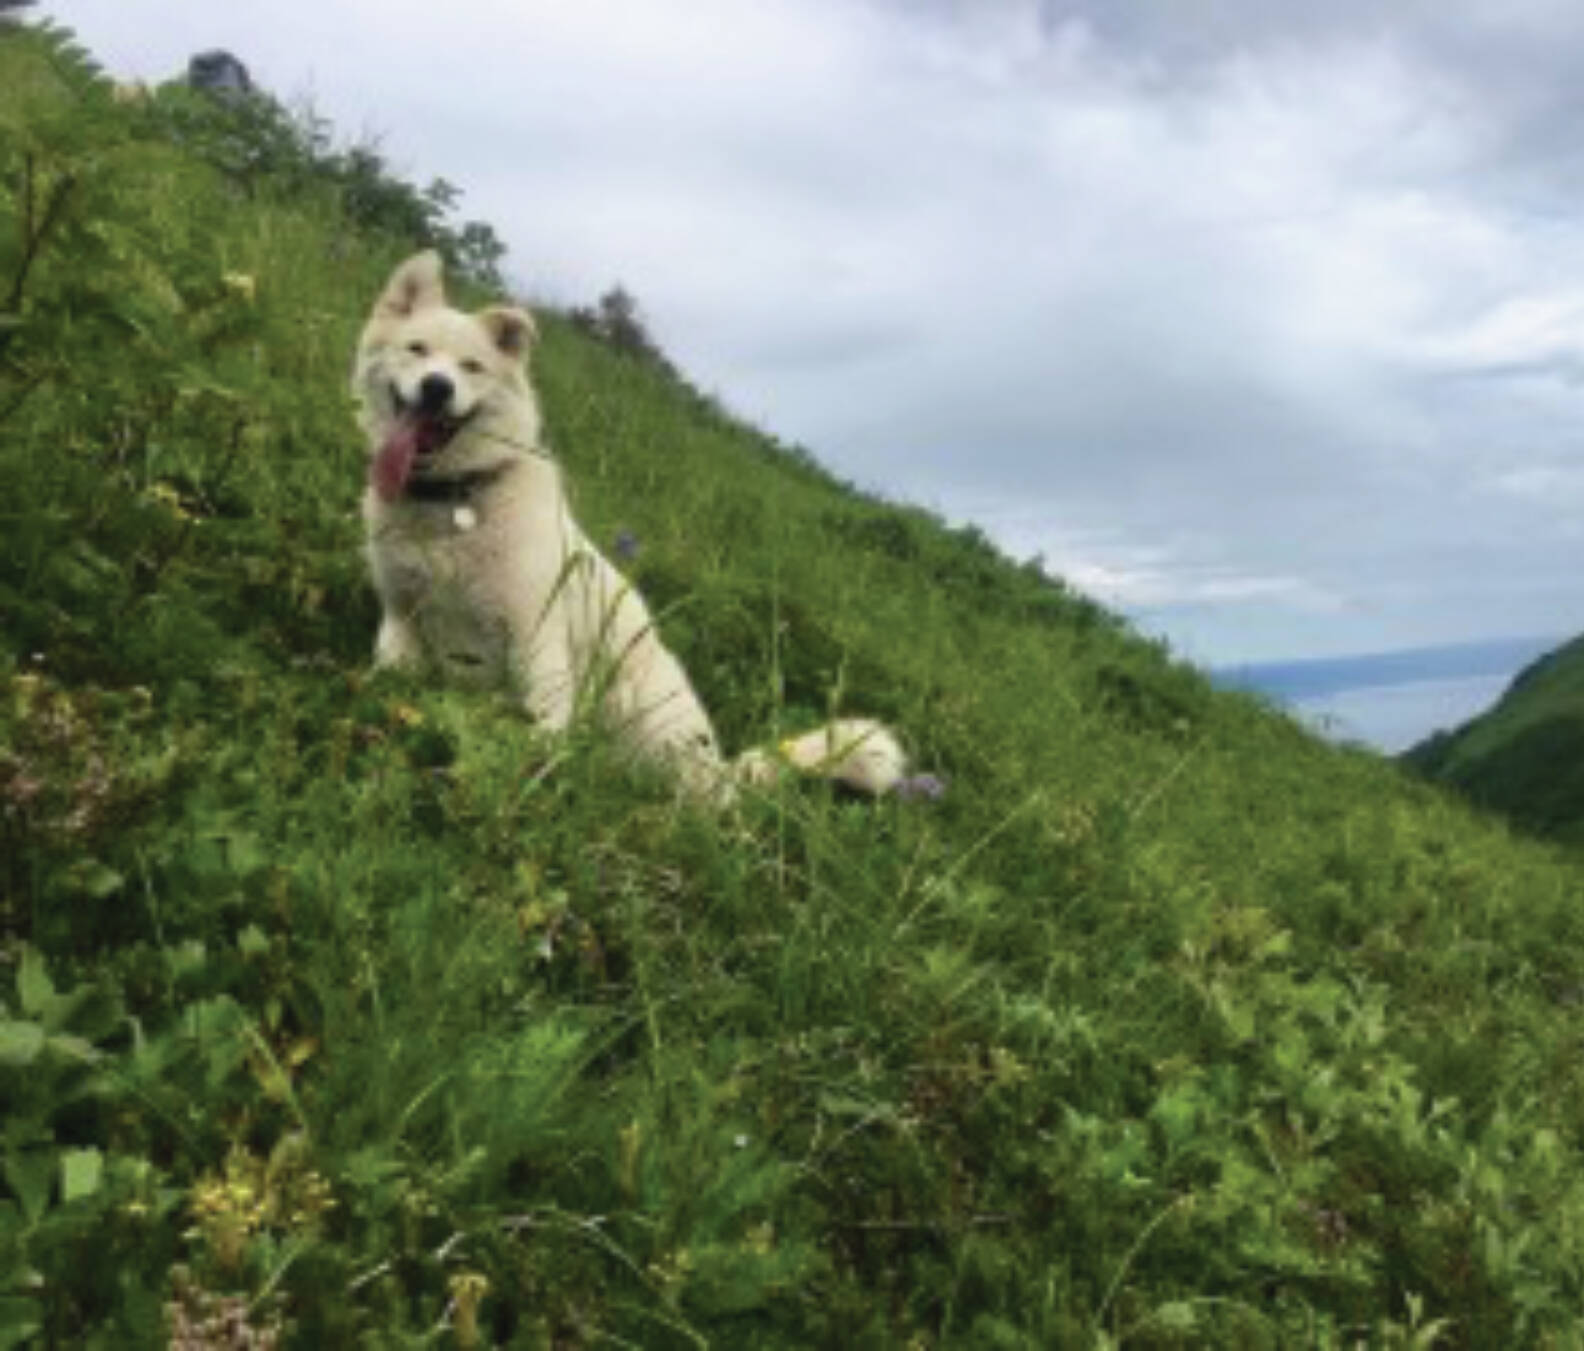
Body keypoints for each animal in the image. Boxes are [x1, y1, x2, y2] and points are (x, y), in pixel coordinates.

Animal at [353, 251, 912, 795]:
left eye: (472, 367)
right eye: (416, 349)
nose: (436, 388)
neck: (456, 497)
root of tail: (721, 772)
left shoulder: (537, 637)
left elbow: (544, 725)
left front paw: (533, 775)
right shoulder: (401, 617)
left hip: (637, 702)